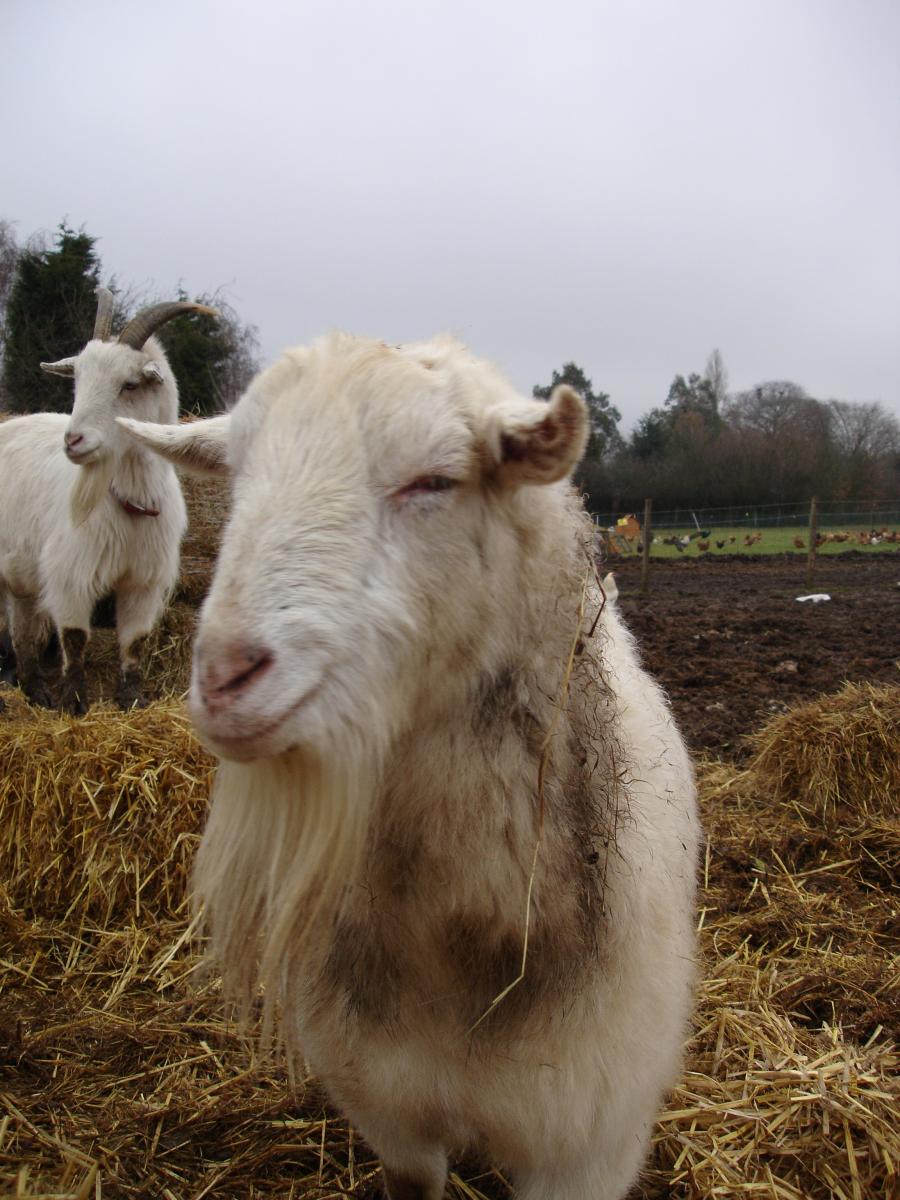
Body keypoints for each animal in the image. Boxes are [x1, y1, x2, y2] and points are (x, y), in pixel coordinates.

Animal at [0, 284, 217, 705]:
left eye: (129, 384)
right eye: (78, 381)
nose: (73, 441)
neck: (129, 500)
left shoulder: (143, 581)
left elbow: (134, 641)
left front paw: (131, 698)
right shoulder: (71, 574)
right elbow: (74, 637)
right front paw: (74, 702)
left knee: (22, 626)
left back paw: (32, 687)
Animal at [120, 333, 700, 1200]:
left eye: (434, 480)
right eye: (240, 478)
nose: (225, 677)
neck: (458, 958)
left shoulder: (588, 1141)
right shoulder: (386, 1108)